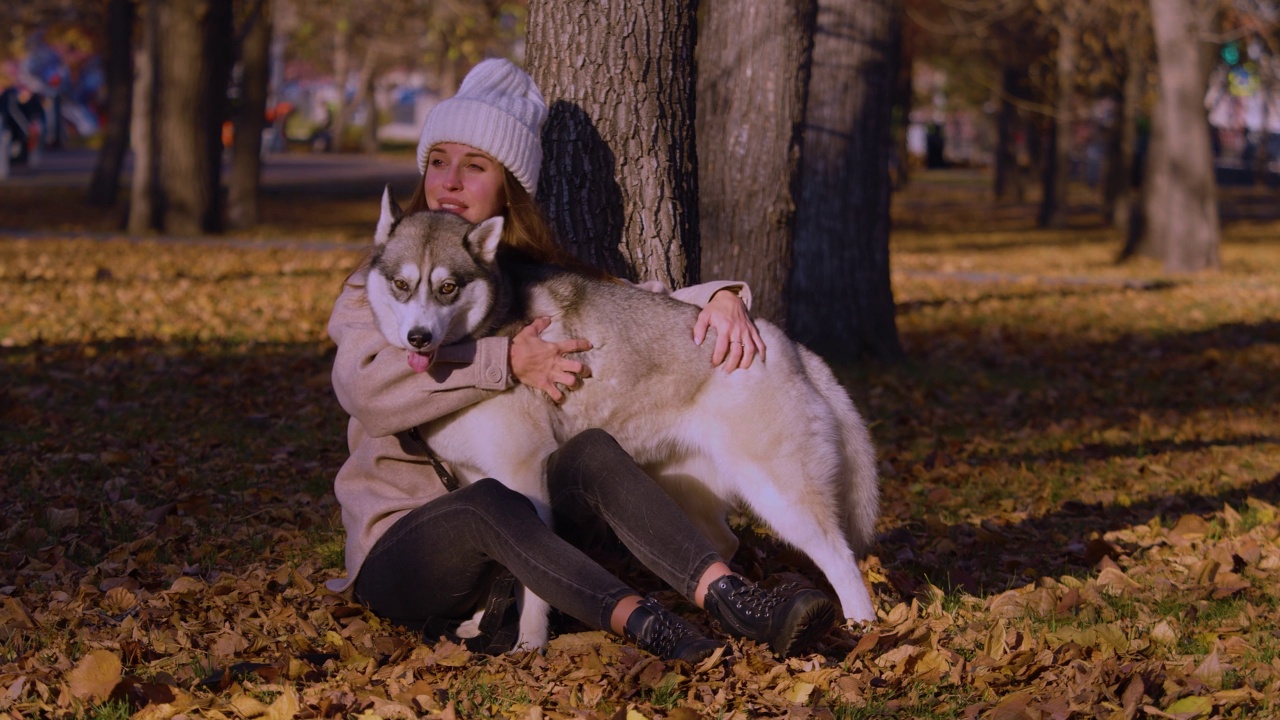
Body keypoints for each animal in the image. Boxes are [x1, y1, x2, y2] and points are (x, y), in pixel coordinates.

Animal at [366, 188, 875, 648]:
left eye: (448, 287)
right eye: (401, 285)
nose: (417, 337)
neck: (485, 340)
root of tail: (791, 347)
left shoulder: (523, 478)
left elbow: (528, 578)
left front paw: (529, 642)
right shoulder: (481, 482)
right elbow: (495, 561)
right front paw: (479, 621)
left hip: (780, 495)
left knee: (841, 560)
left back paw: (859, 627)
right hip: (686, 487)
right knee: (725, 544)